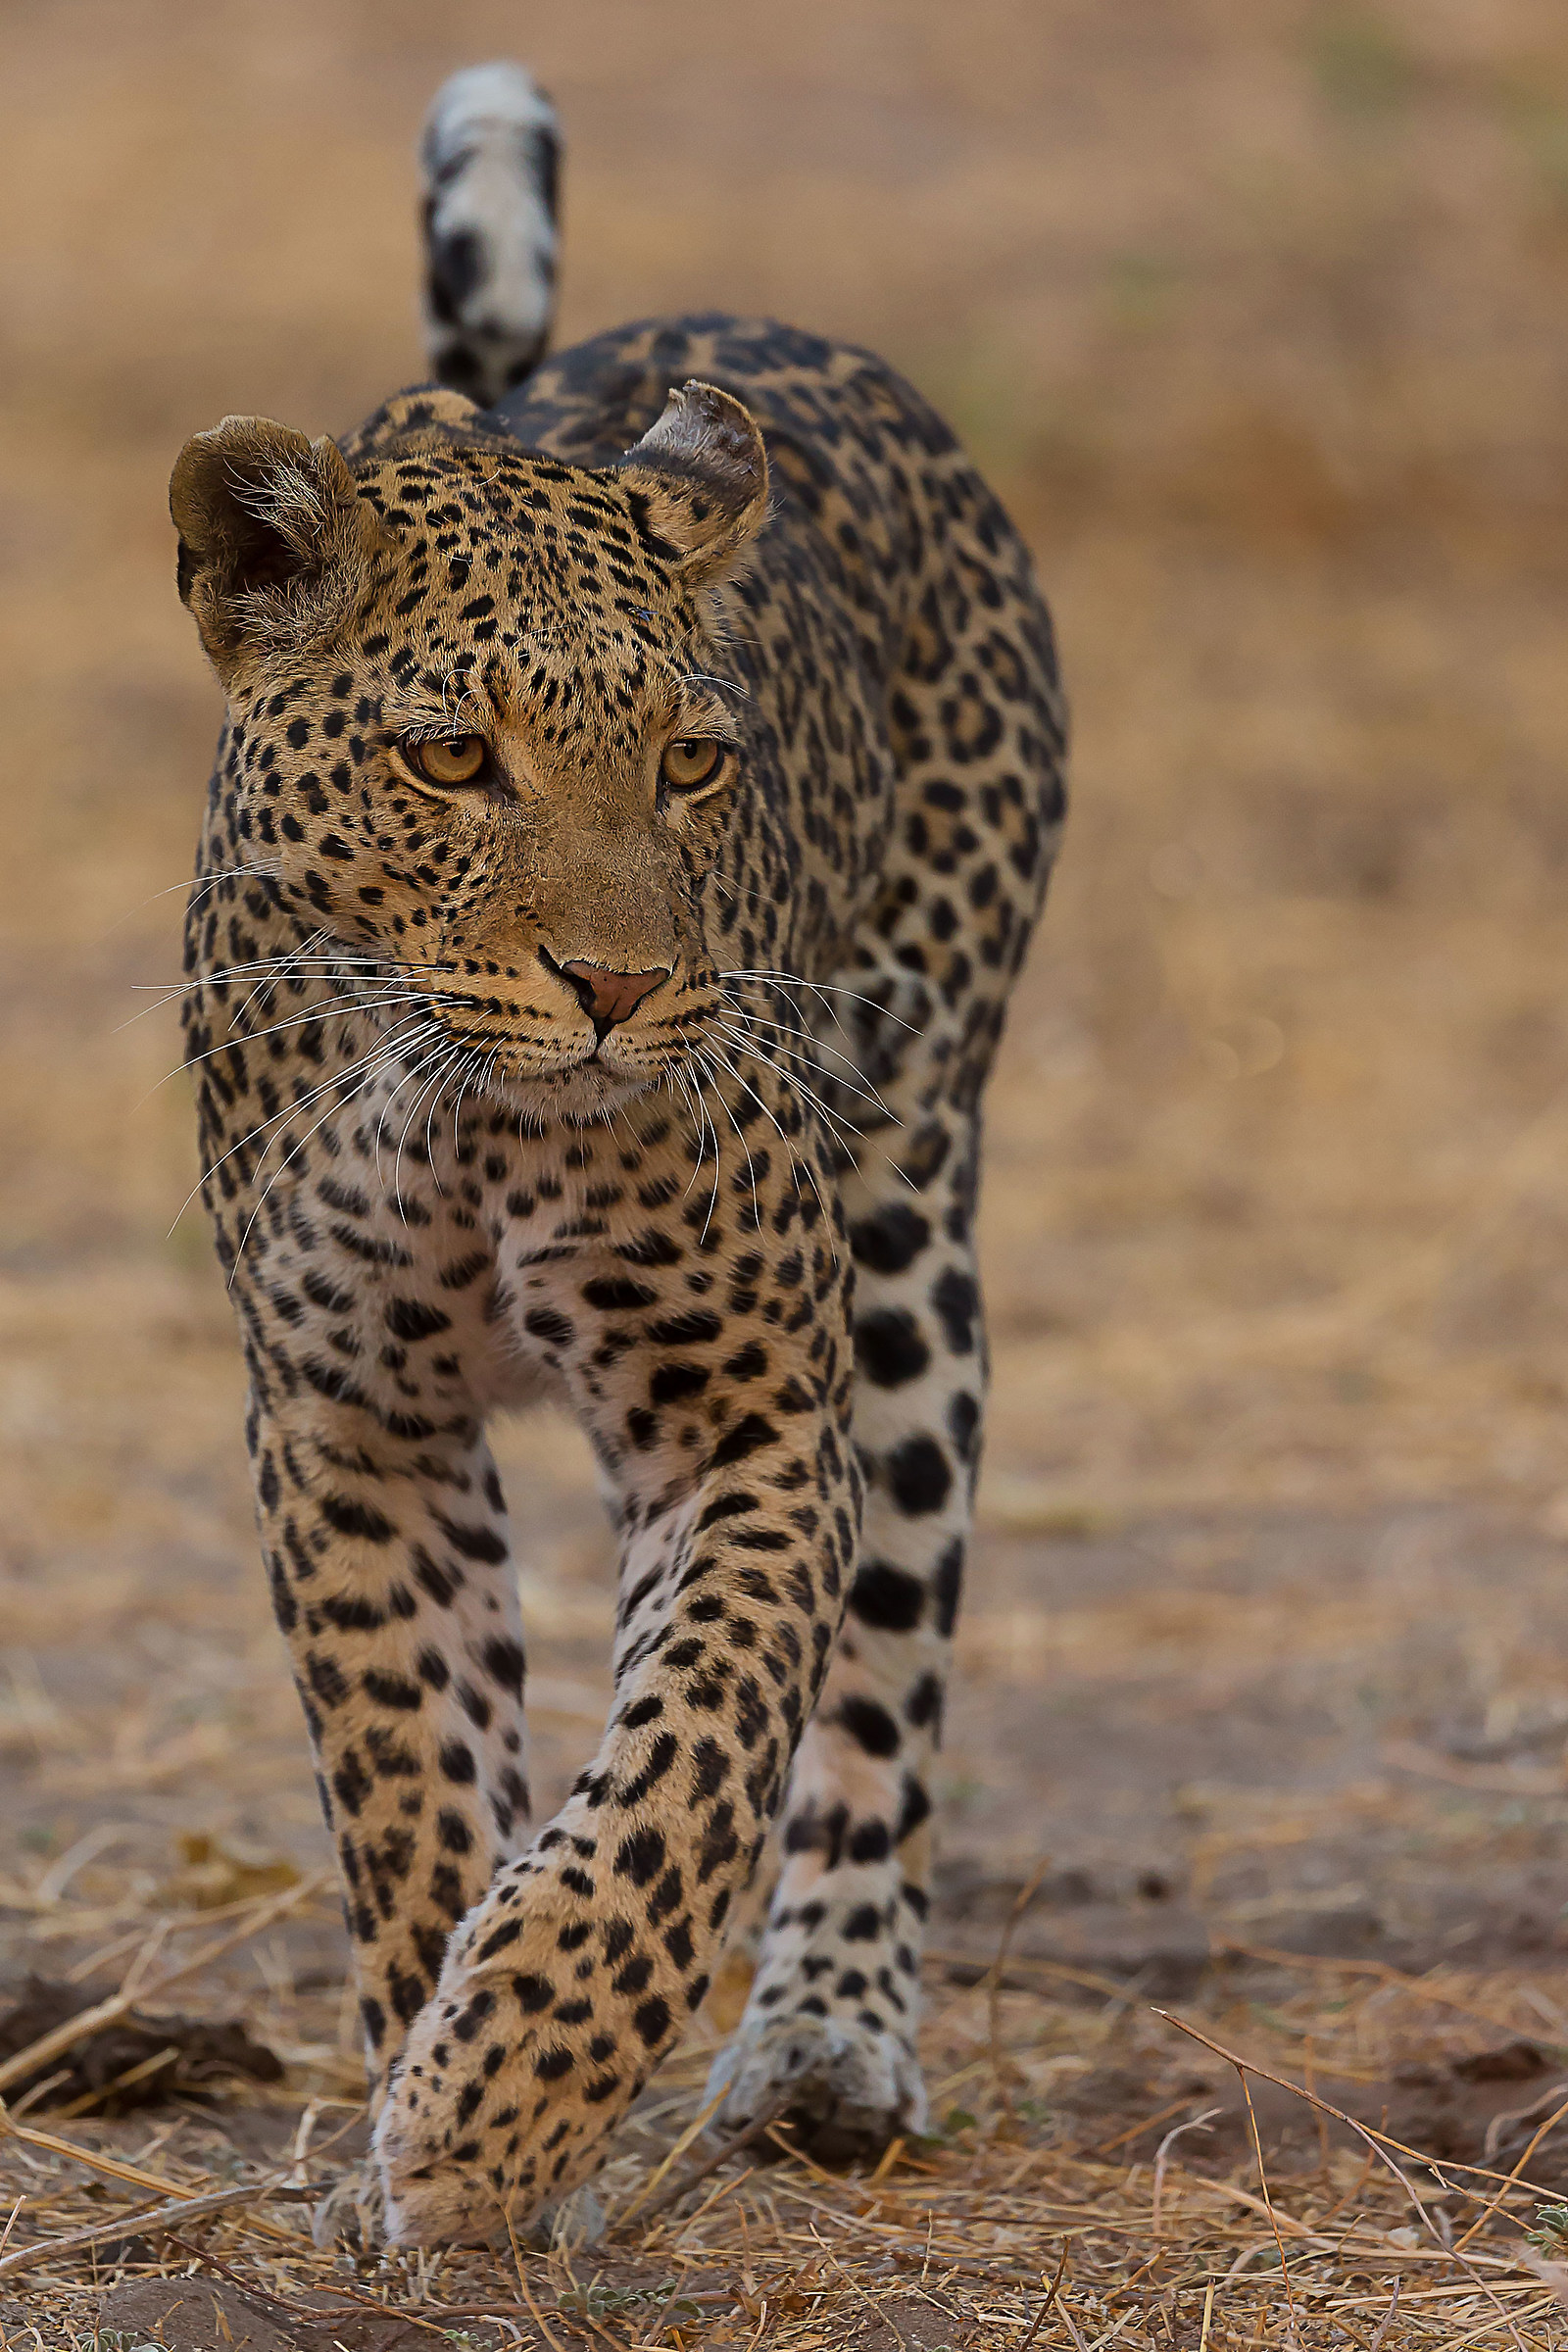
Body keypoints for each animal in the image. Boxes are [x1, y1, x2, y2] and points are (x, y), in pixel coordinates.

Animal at [168, 58, 1067, 2248]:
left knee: (885, 1665)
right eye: (448, 760)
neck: (479, 1132)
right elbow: (414, 1787)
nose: (619, 985)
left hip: (907, 1219)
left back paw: (826, 2042)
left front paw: (501, 2113)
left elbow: (685, 1771)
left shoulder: (746, 1416)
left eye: (693, 760)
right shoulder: (350, 1419)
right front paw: (437, 2119)